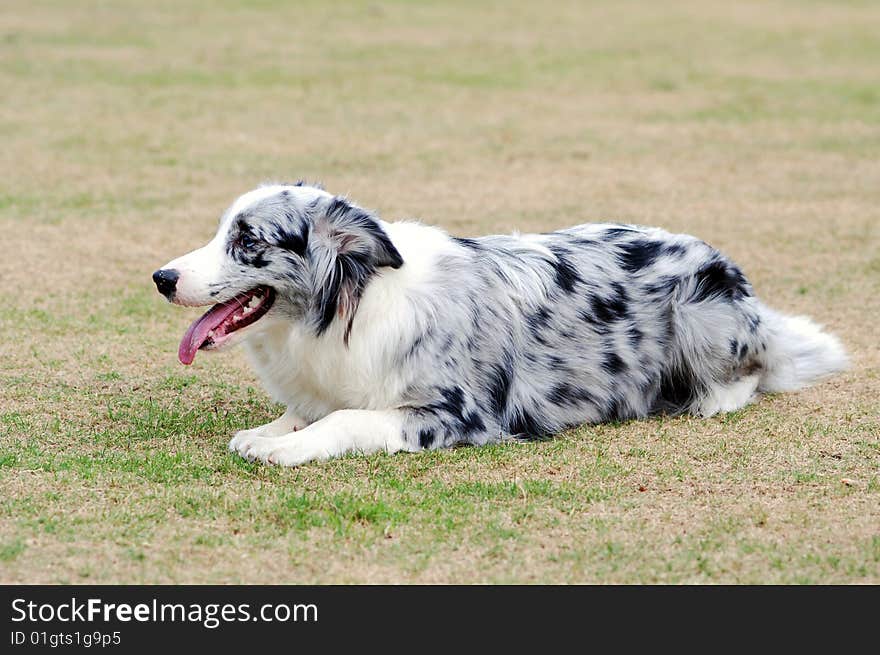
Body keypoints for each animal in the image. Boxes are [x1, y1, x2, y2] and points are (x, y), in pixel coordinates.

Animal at [155, 181, 848, 466]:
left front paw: (287, 447)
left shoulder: (459, 413)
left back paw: (708, 399)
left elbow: (349, 419)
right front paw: (272, 430)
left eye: (247, 241)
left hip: (702, 316)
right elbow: (312, 410)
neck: (351, 308)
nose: (161, 277)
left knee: (755, 371)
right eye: (221, 232)